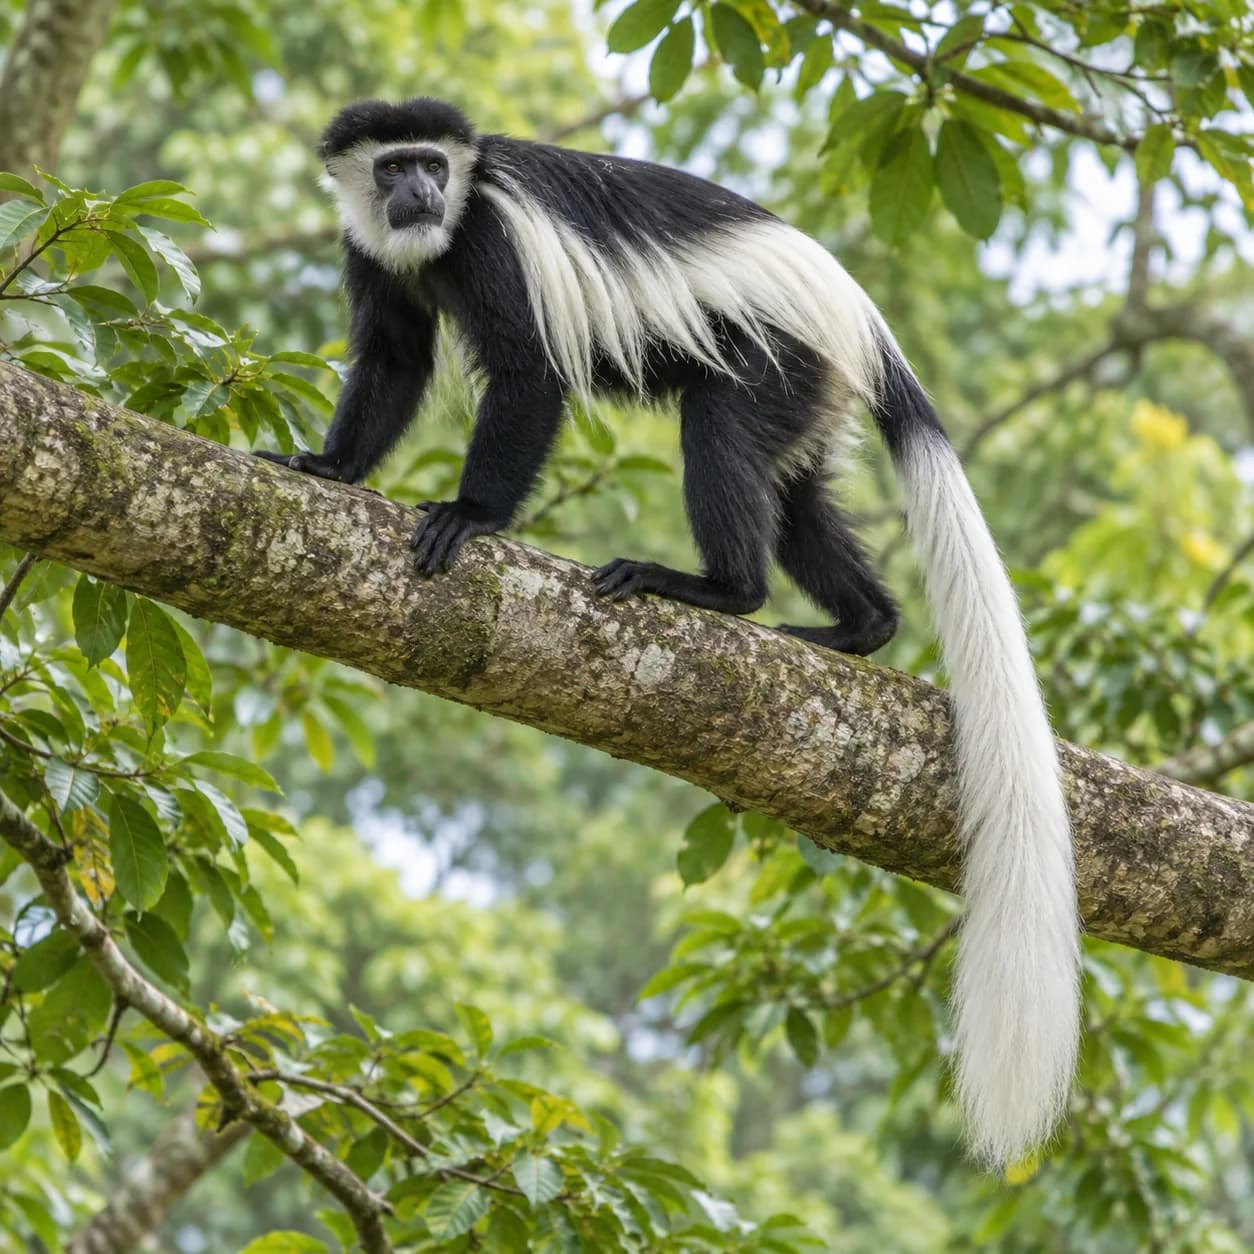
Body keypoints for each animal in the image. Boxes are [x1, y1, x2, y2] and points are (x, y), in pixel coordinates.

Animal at [256, 98, 1079, 1169]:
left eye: (434, 164)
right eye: (394, 166)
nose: (423, 191)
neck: (440, 234)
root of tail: (859, 313)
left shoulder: (495, 244)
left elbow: (527, 377)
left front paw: (469, 516)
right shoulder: (371, 252)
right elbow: (393, 359)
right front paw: (326, 466)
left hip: (776, 355)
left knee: (721, 429)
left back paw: (714, 591)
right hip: (812, 394)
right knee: (797, 497)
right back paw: (855, 629)